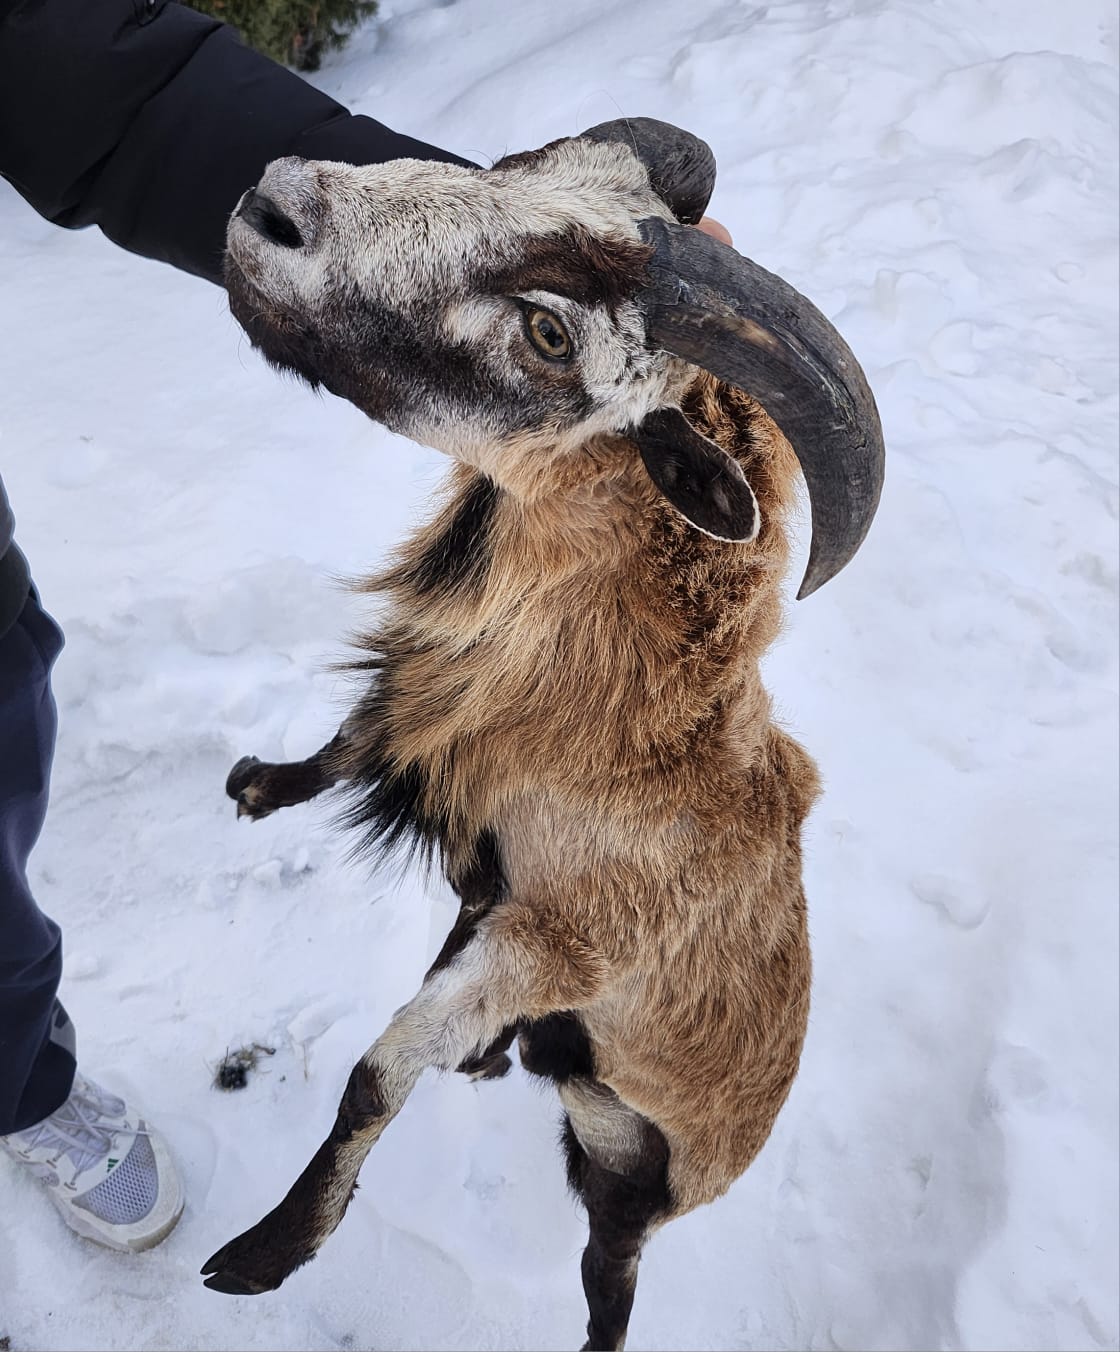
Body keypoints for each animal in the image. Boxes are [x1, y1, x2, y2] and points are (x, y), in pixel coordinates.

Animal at [200, 118, 885, 1351]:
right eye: (521, 163)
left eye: (551, 333)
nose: (270, 206)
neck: (613, 731)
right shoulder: (438, 728)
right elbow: (353, 737)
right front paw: (258, 783)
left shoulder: (555, 944)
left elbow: (375, 1076)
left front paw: (264, 1255)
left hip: (627, 1172)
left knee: (611, 1280)